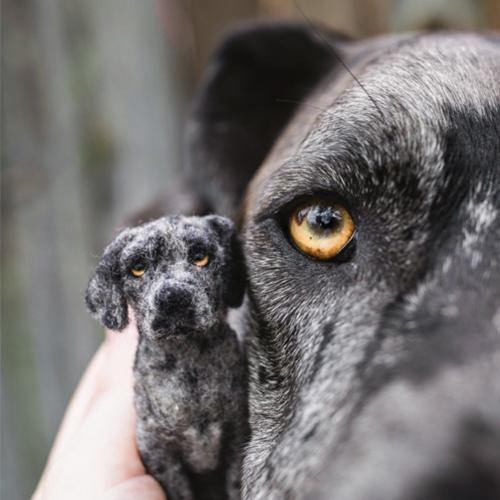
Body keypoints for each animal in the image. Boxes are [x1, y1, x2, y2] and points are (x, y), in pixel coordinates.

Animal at [87, 216, 249, 500]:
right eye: (137, 268)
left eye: (201, 257)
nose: (174, 298)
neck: (188, 367)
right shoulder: (159, 453)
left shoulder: (236, 436)